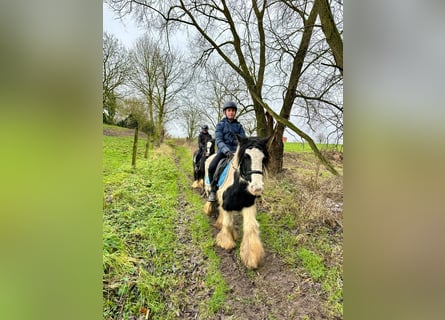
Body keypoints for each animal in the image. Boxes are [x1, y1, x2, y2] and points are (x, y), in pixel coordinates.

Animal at [203, 135, 268, 270]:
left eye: (263, 158)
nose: (257, 188)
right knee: (212, 201)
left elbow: (250, 227)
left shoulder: (248, 206)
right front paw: (226, 242)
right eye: (246, 157)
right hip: (208, 188)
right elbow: (227, 224)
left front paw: (251, 256)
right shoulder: (227, 206)